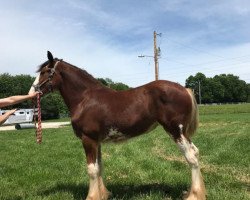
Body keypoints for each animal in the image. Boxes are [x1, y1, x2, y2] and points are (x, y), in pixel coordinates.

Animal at [29, 51, 205, 200]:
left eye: (45, 71)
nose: (32, 93)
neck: (85, 99)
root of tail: (185, 89)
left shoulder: (88, 139)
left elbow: (91, 169)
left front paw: (92, 196)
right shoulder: (96, 141)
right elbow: (99, 167)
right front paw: (103, 194)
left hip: (175, 131)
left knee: (191, 157)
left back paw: (194, 195)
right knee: (195, 152)